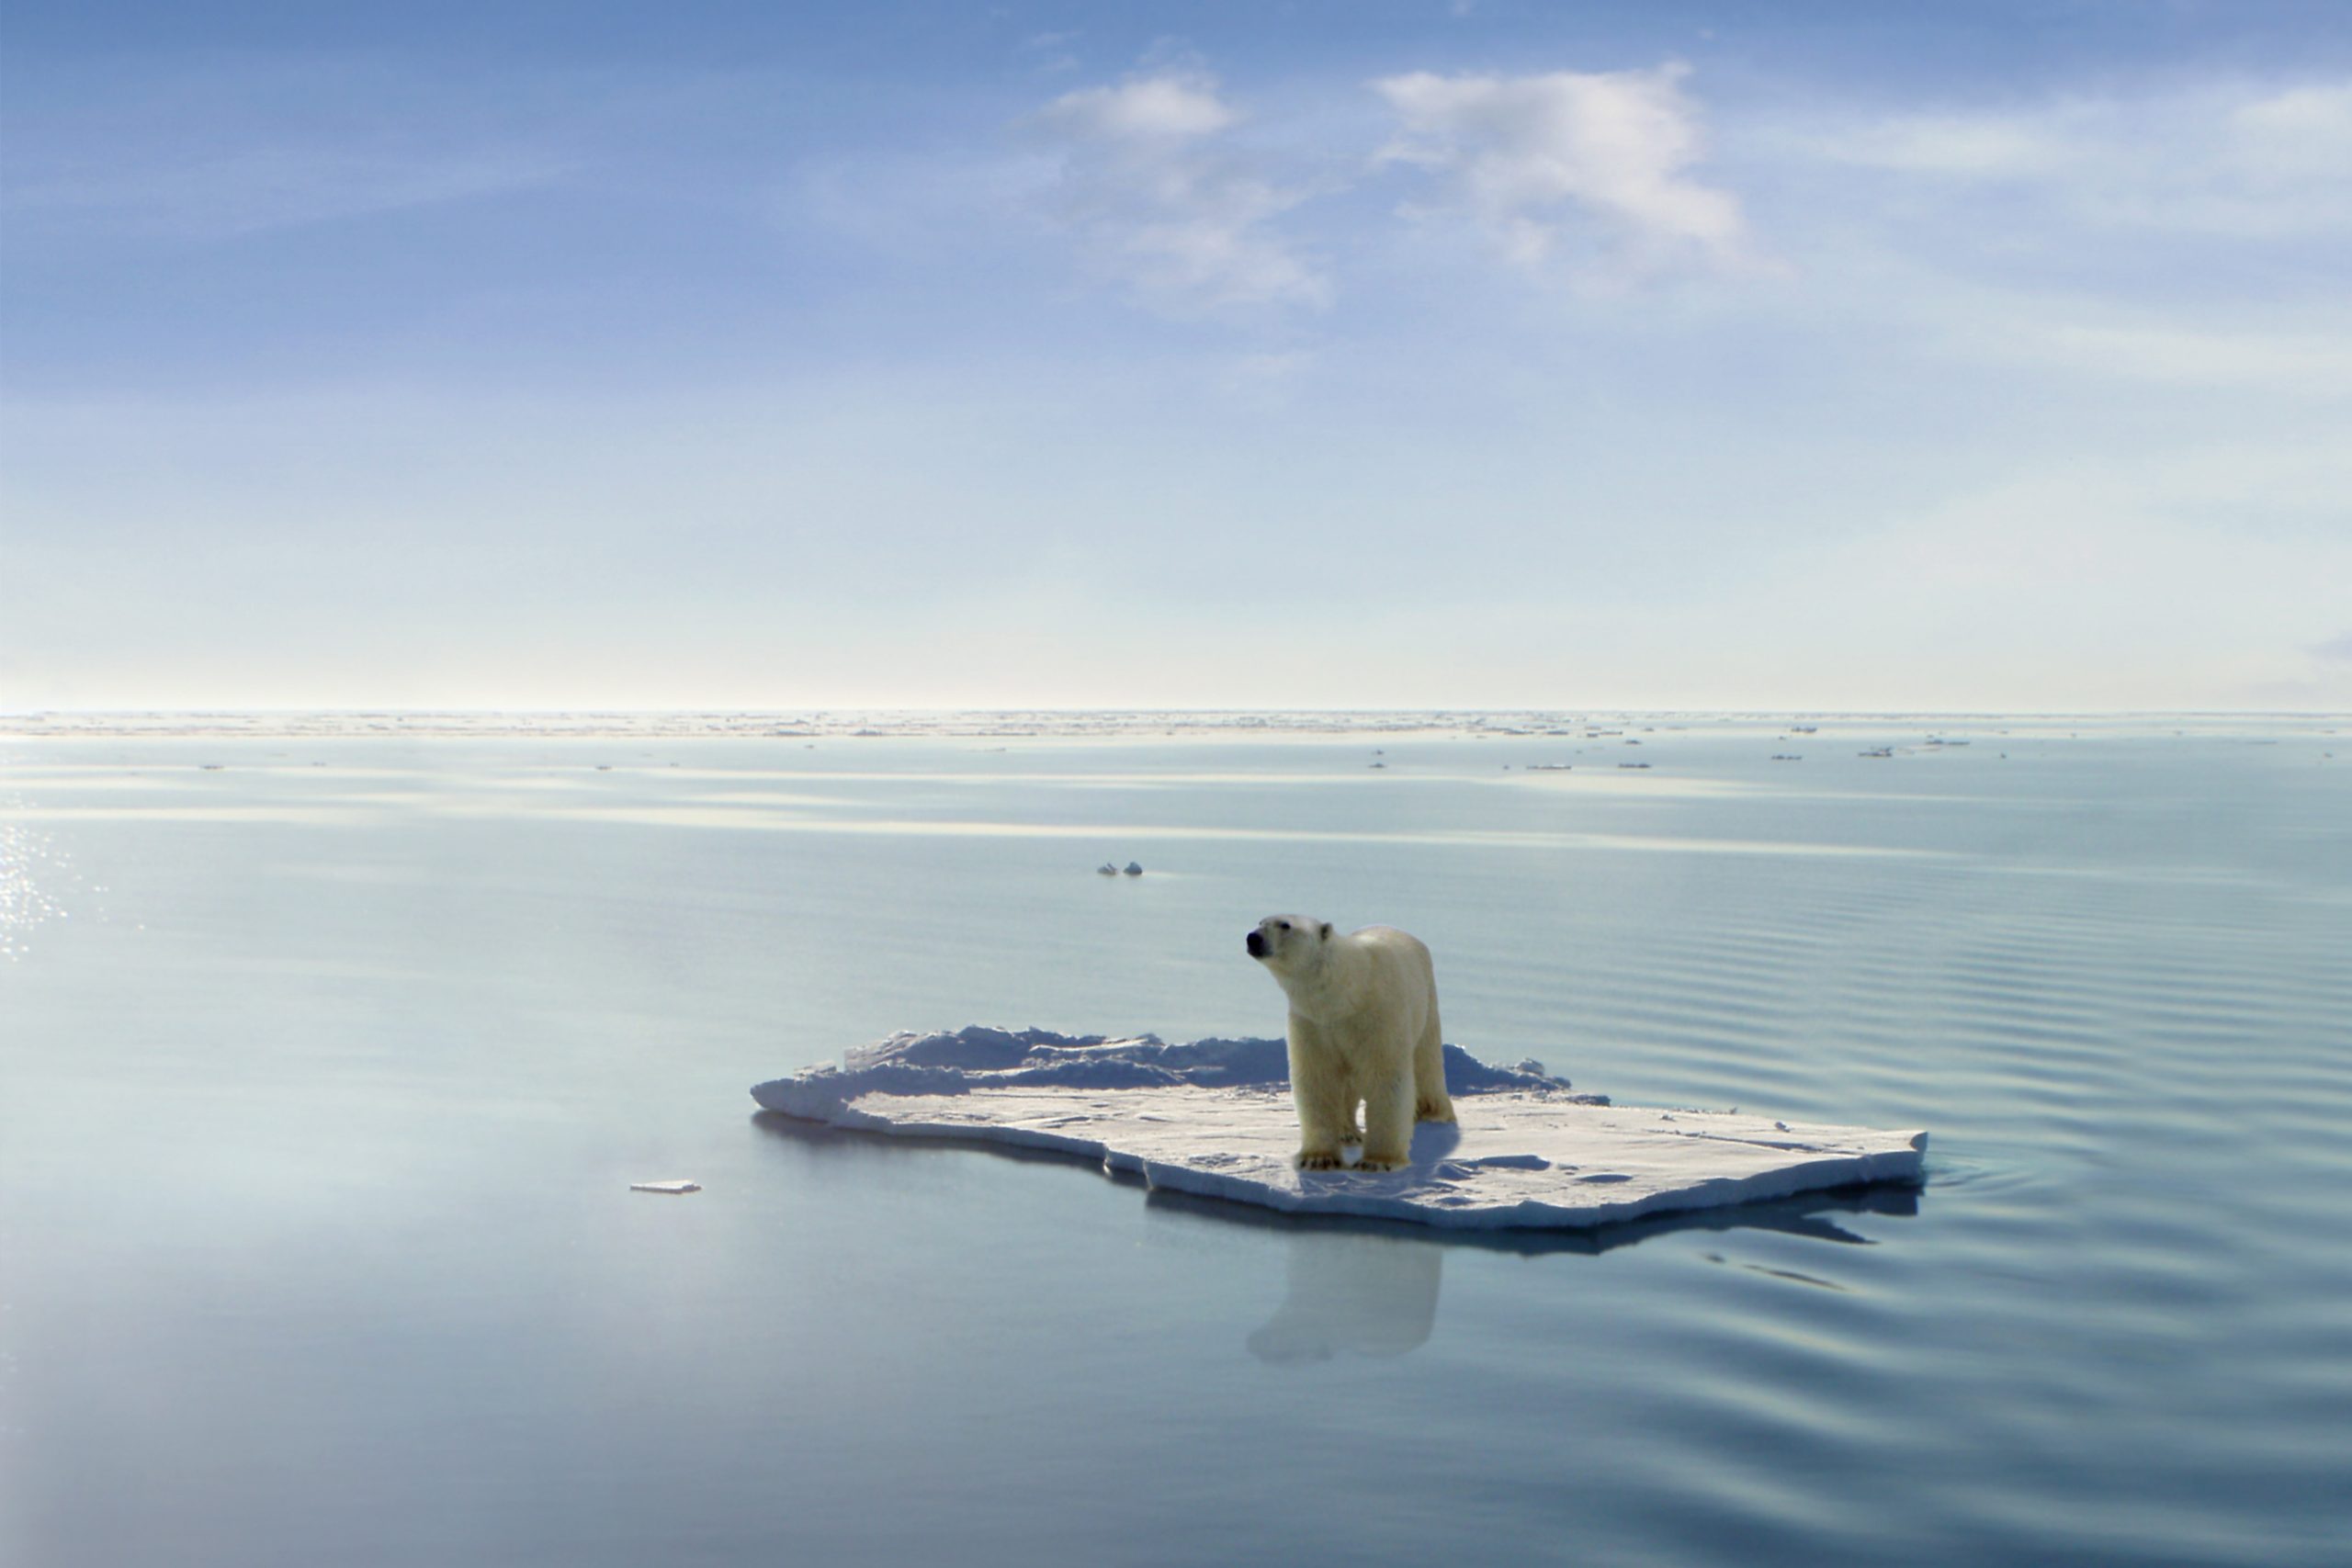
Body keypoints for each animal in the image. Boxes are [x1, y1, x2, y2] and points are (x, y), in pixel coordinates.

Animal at [1250, 911, 1448, 1170]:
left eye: (1285, 925)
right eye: (1260, 922)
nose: (1253, 938)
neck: (1345, 994)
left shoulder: (1379, 1018)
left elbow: (1386, 1077)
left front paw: (1377, 1161)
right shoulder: (1313, 1023)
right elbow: (1318, 1078)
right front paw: (1318, 1158)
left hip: (1426, 1002)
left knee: (1427, 1062)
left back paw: (1435, 1113)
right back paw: (1347, 1133)